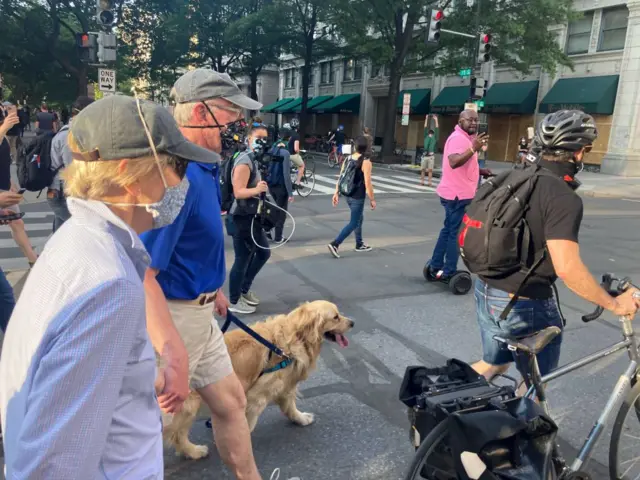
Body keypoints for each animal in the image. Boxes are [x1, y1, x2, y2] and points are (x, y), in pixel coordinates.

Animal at [159, 298, 350, 460]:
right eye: (335, 317)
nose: (352, 322)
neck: (294, 338)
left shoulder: (285, 385)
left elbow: (290, 406)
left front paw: (300, 418)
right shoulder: (257, 395)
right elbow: (249, 423)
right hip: (187, 405)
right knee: (176, 434)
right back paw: (194, 451)